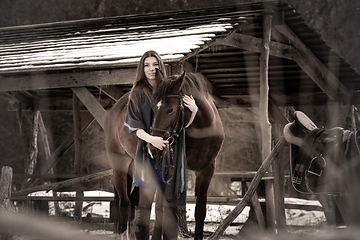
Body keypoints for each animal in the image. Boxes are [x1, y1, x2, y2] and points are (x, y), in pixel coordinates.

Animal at [104, 71, 224, 240]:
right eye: (153, 108)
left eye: (170, 110)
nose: (153, 147)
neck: (203, 131)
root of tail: (114, 109)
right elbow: (165, 211)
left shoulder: (206, 171)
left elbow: (200, 211)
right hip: (120, 165)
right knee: (125, 203)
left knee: (134, 202)